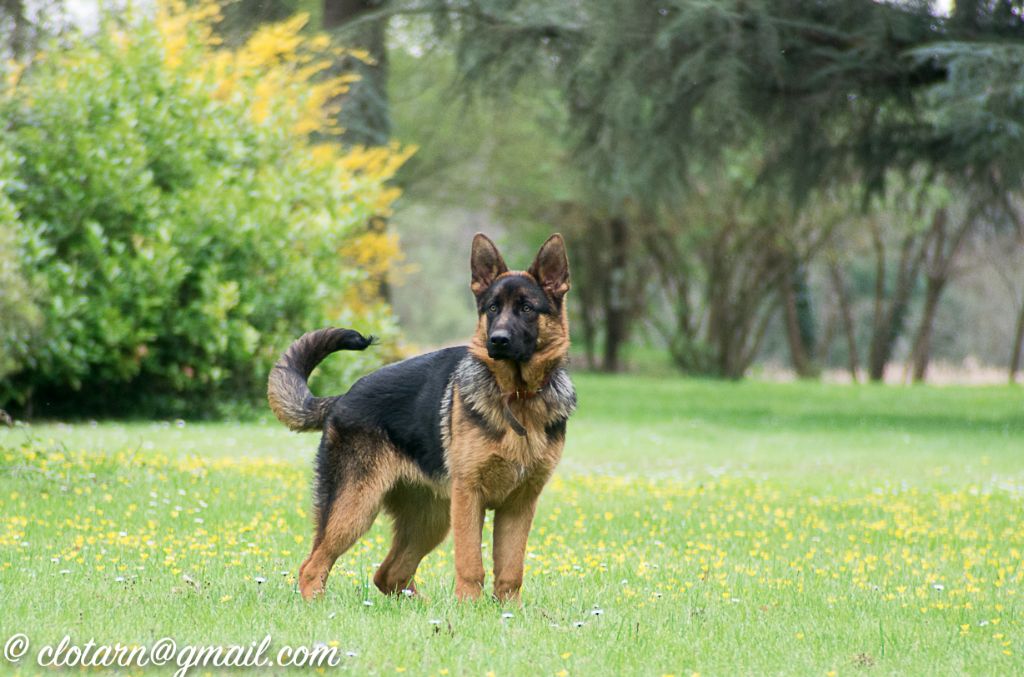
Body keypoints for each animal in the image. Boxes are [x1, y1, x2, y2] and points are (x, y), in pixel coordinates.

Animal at [268, 233, 577, 602]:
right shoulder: (468, 496)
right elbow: (470, 562)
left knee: (387, 574)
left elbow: (510, 571)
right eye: (492, 308)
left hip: (431, 520)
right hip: (357, 508)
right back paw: (317, 603)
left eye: (527, 308)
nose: (497, 341)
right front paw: (469, 607)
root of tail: (343, 397)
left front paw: (508, 609)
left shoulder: (519, 505)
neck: (516, 397)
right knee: (313, 565)